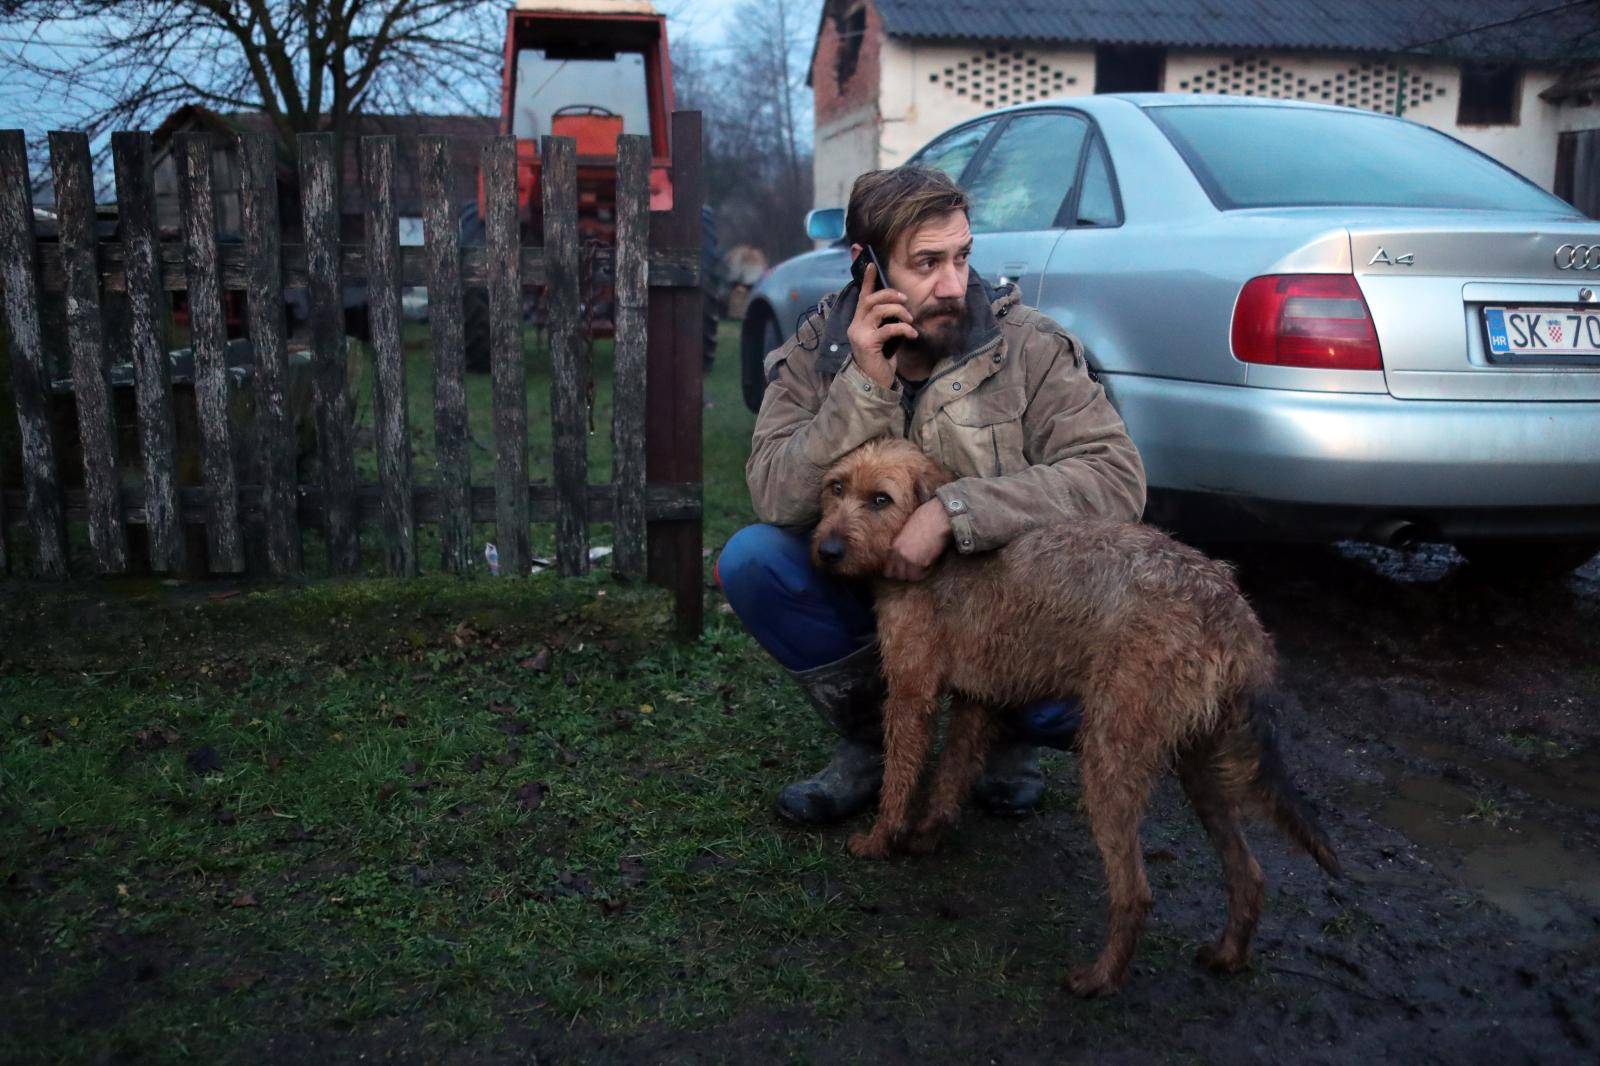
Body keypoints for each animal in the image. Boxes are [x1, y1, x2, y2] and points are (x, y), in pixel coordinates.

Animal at [806, 435, 1344, 998]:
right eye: (836, 487)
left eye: (881, 500)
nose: (827, 551)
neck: (940, 554)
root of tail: (1233, 612)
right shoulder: (978, 700)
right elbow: (951, 779)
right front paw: (927, 835)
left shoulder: (911, 695)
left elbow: (900, 778)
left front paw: (880, 839)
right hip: (1202, 769)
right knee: (1249, 872)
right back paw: (1228, 955)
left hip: (1108, 760)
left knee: (1135, 892)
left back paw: (1100, 979)